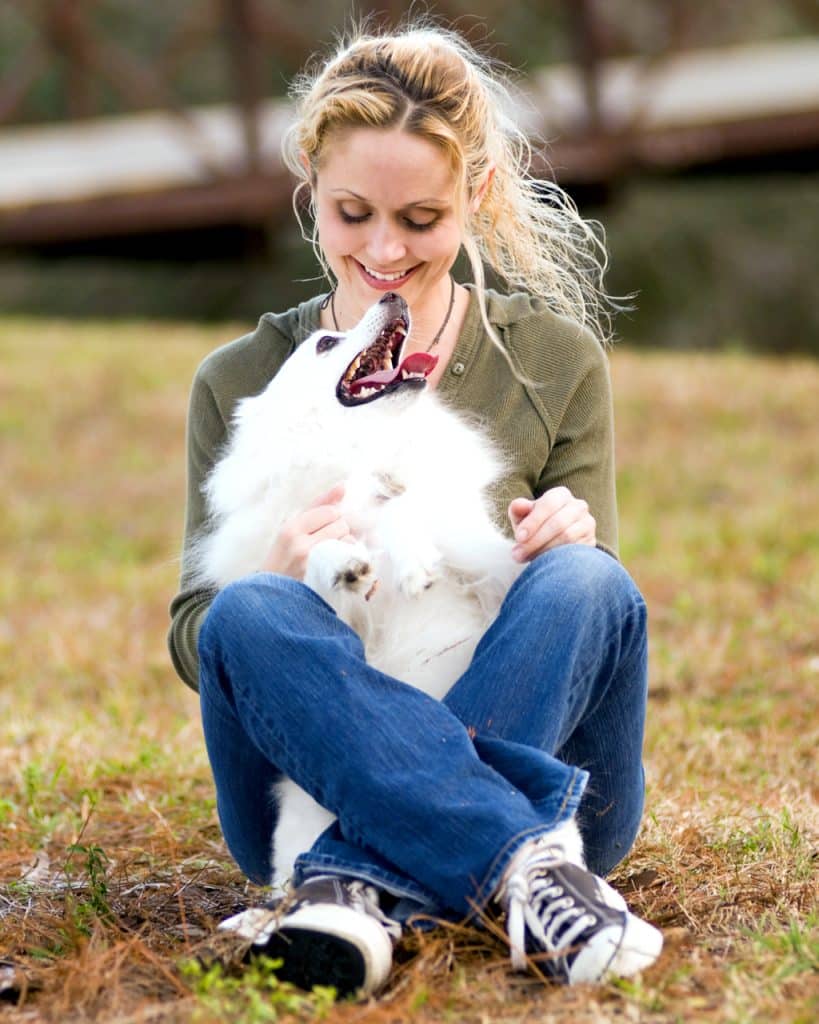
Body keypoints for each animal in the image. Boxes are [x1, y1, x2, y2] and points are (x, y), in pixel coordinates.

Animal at [192, 292, 522, 892]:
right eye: (326, 343)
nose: (393, 296)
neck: (360, 451)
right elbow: (331, 550)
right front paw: (348, 564)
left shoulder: (473, 552)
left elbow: (403, 512)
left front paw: (412, 559)